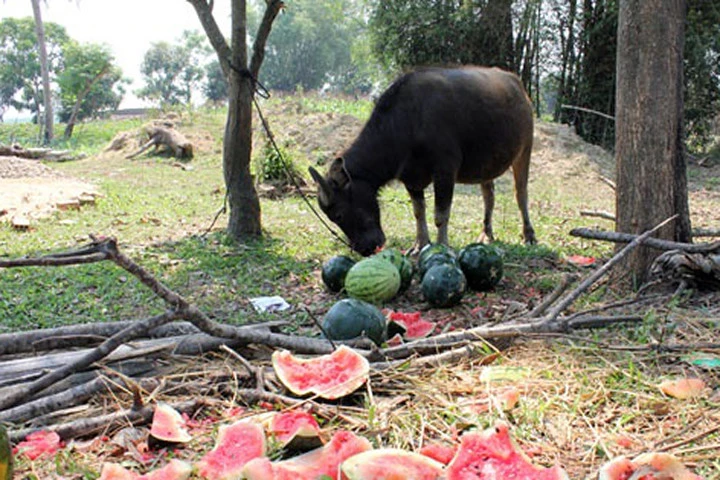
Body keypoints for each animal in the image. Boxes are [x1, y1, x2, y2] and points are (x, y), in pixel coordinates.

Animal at [310, 66, 536, 258]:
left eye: (338, 215)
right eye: (332, 218)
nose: (365, 249)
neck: (409, 122)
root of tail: (517, 84)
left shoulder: (445, 170)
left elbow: (440, 214)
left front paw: (442, 245)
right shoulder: (410, 177)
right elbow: (419, 212)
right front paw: (420, 244)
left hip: (525, 148)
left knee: (521, 193)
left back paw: (528, 234)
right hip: (486, 165)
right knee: (489, 196)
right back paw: (486, 233)